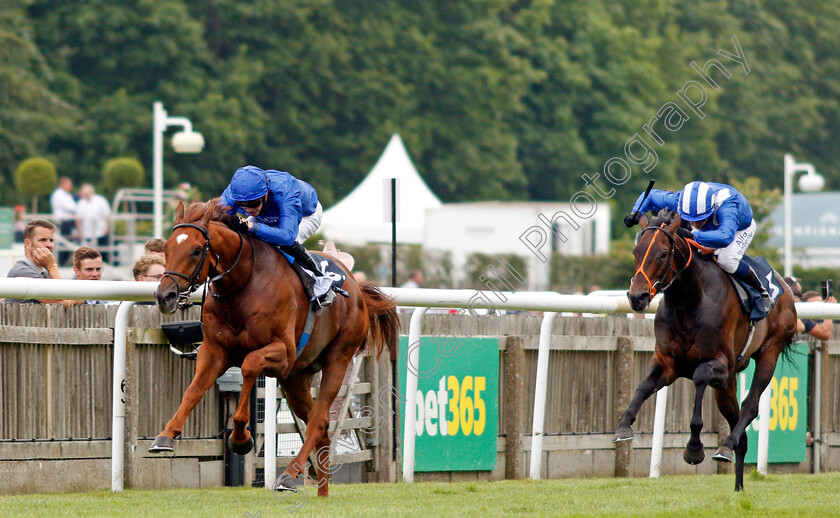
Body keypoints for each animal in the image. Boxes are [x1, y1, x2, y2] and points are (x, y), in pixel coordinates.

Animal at [148, 201, 400, 498]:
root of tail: (355, 285)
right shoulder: (214, 351)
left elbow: (249, 366)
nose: (164, 296)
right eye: (166, 249)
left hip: (338, 359)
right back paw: (322, 491)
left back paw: (289, 476)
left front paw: (241, 439)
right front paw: (165, 436)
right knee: (319, 423)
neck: (244, 283)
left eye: (197, 250)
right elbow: (194, 389)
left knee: (318, 419)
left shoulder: (283, 353)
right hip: (296, 379)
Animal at [616, 210, 796, 492]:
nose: (637, 297)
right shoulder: (668, 363)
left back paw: (725, 446)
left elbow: (700, 377)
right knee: (738, 425)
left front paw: (694, 448)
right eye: (636, 251)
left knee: (750, 406)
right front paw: (624, 426)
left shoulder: (721, 363)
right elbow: (643, 386)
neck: (689, 301)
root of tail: (784, 284)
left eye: (663, 254)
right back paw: (738, 484)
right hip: (727, 386)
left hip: (769, 351)